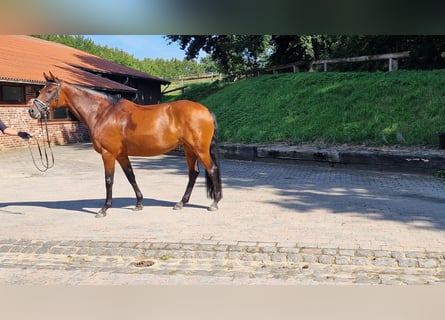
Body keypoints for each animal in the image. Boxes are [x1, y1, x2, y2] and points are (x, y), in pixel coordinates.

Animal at [28, 72, 222, 218]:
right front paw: (139, 203)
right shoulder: (121, 155)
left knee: (212, 170)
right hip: (189, 150)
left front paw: (104, 209)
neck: (103, 113)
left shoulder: (108, 154)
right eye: (41, 89)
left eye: (49, 90)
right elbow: (131, 177)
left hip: (200, 150)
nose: (32, 111)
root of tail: (205, 110)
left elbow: (109, 180)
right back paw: (181, 203)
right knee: (193, 173)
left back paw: (214, 203)